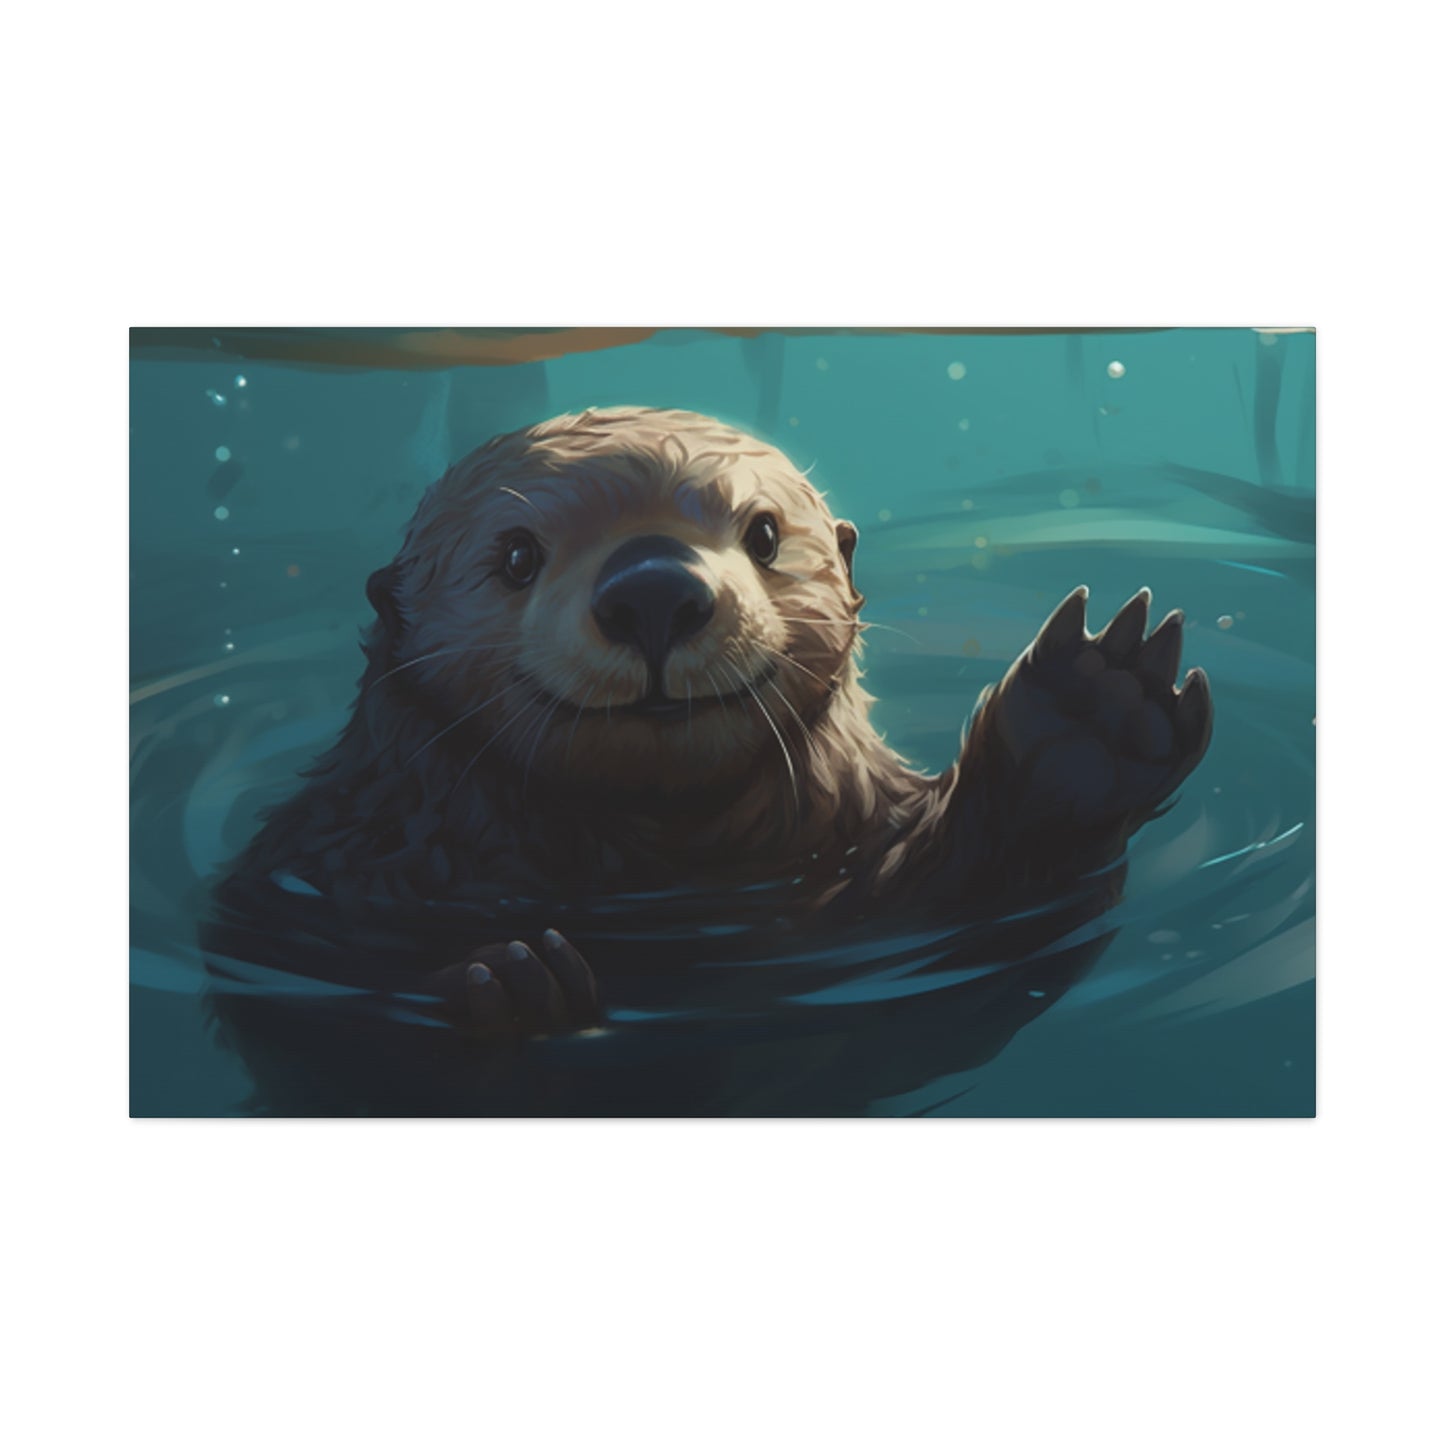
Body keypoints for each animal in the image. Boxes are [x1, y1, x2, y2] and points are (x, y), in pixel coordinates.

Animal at [207, 406, 1212, 1115]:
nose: (653, 589)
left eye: (763, 534)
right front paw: (510, 987)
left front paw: (1089, 715)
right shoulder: (322, 878)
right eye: (517, 555)